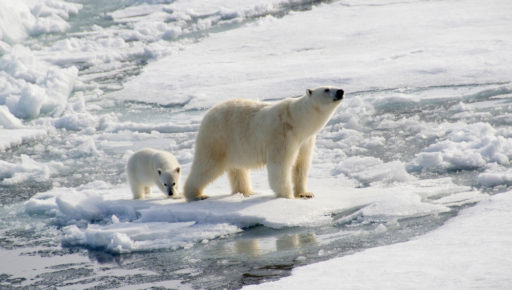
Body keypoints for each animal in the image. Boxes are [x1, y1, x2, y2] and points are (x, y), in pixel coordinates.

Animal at [184, 86, 344, 202]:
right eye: (326, 89)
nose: (341, 91)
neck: (297, 121)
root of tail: (208, 113)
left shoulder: (305, 140)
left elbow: (301, 165)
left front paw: (305, 193)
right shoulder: (282, 136)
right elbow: (280, 166)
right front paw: (288, 196)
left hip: (234, 145)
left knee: (238, 169)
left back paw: (247, 192)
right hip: (217, 138)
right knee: (207, 165)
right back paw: (197, 194)